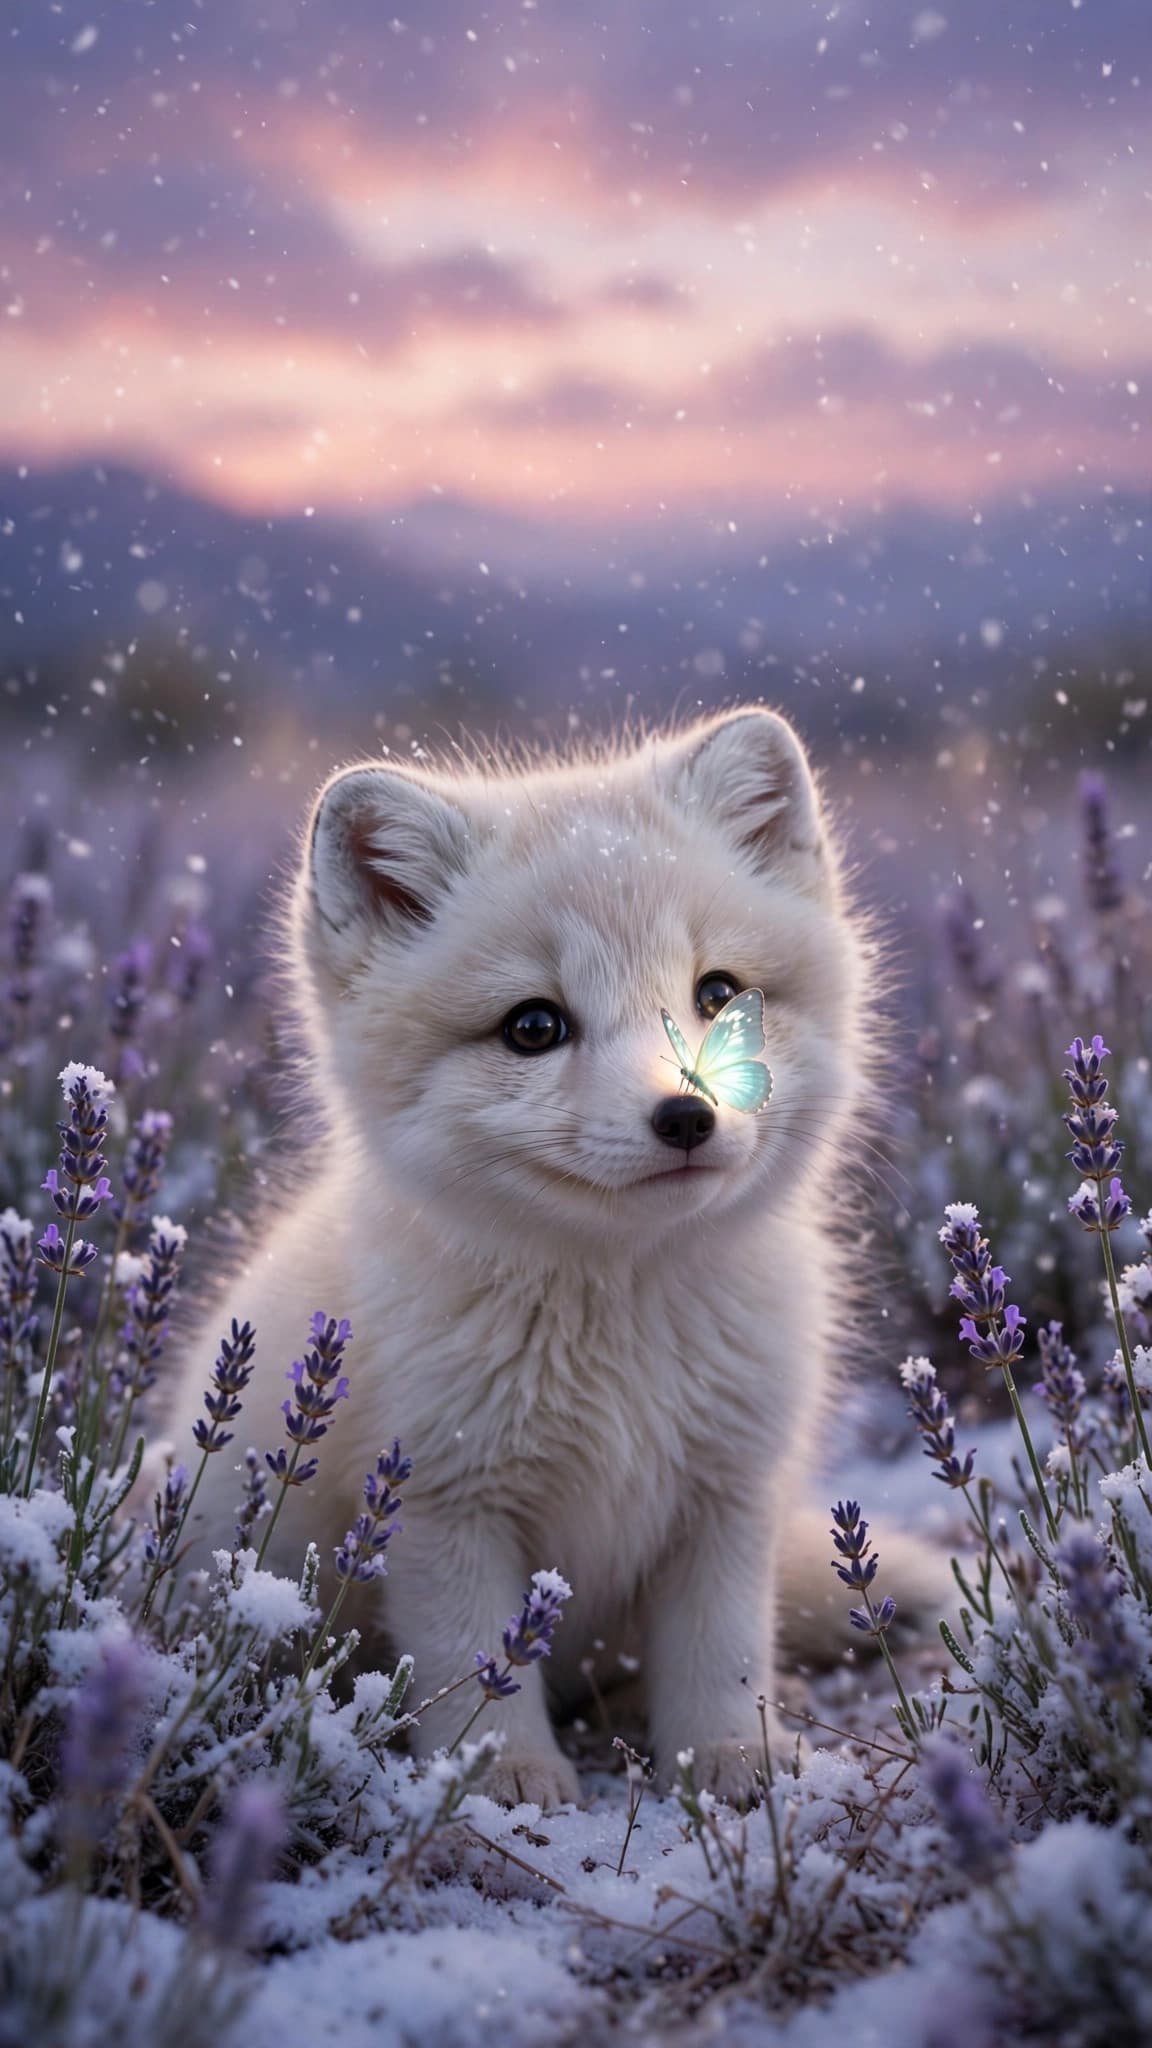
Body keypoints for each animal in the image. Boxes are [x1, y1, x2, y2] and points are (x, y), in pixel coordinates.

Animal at [163, 705, 940, 1809]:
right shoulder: (442, 1504)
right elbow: (471, 1665)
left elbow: (723, 1659)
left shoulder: (727, 1497)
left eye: (717, 993)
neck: (619, 1334)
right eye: (534, 1026)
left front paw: (730, 1763)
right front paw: (504, 1777)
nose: (688, 1115)